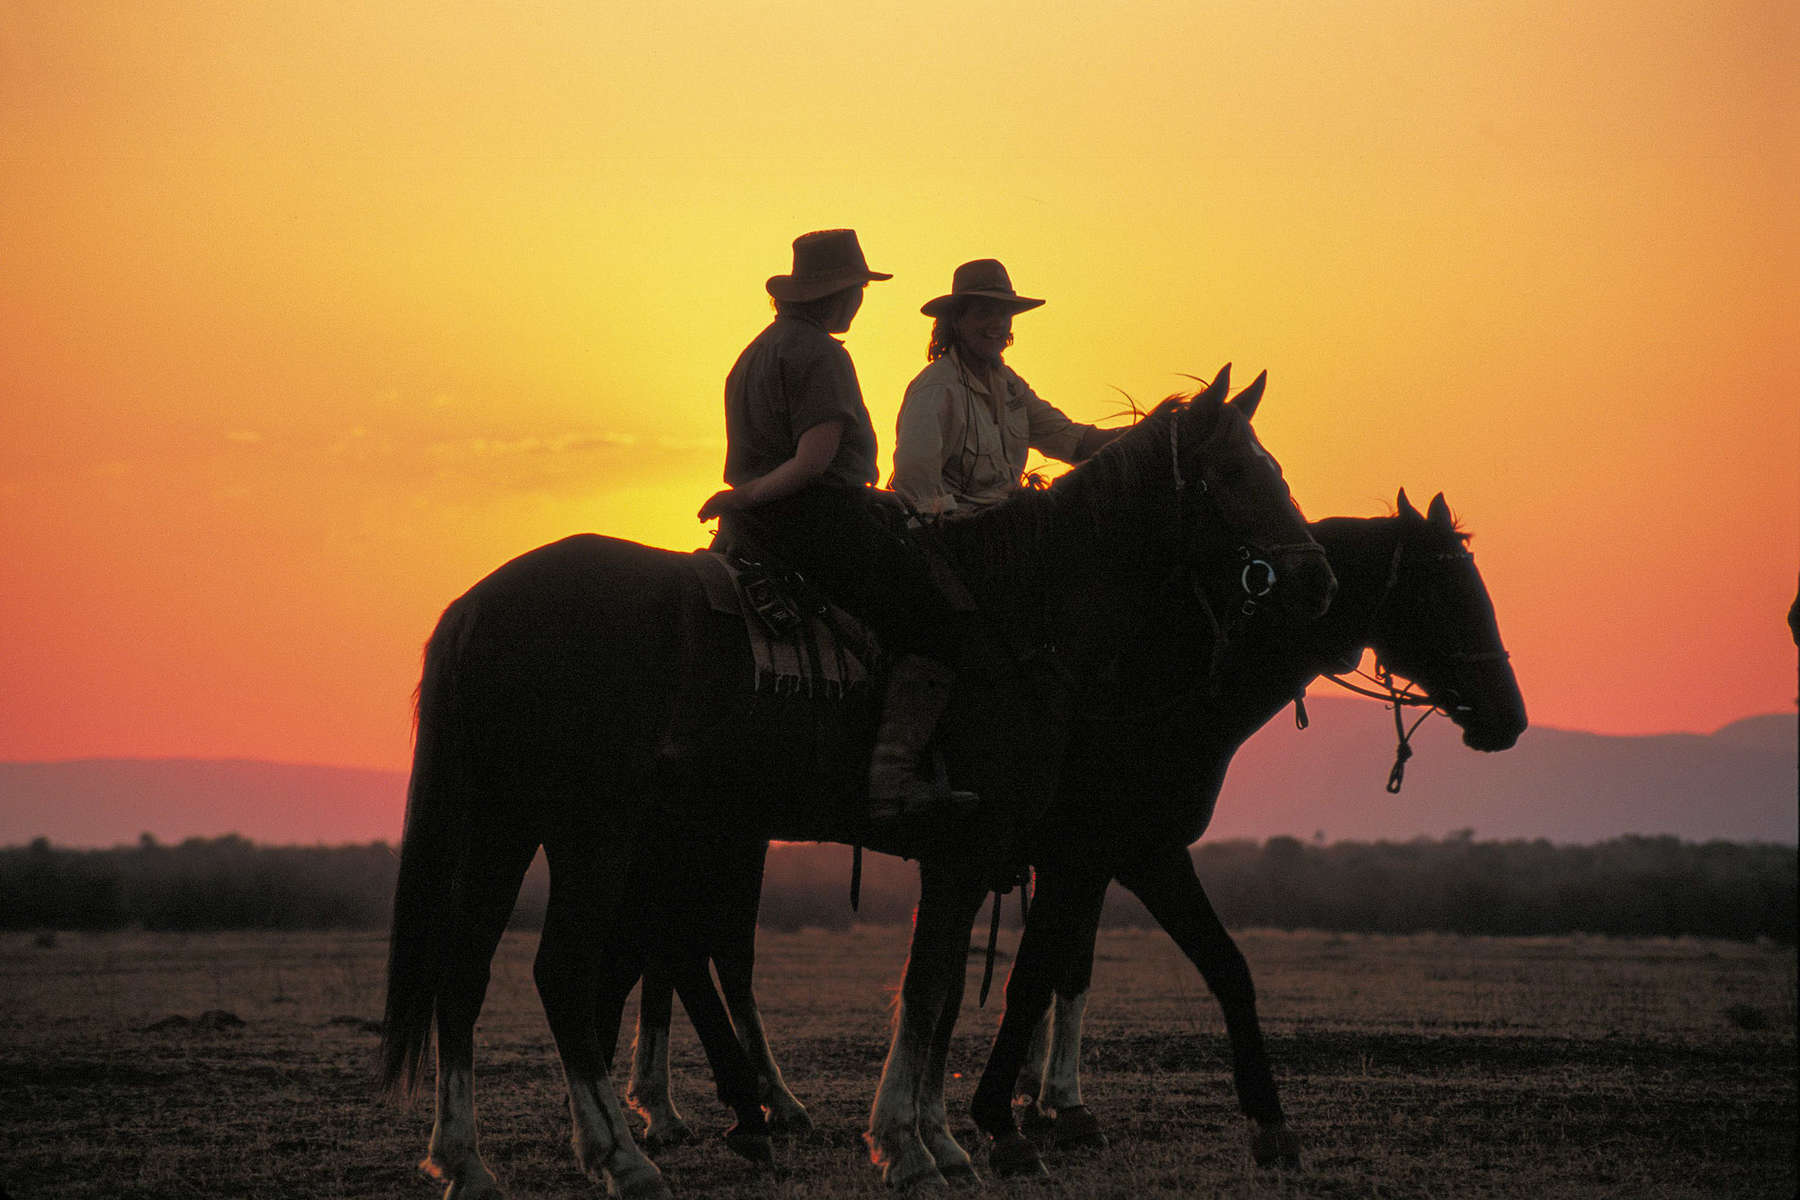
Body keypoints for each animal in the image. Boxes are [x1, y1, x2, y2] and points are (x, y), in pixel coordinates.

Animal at [379, 368, 1339, 1200]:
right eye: (1231, 471)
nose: (1317, 577)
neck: (1021, 609)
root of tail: (479, 606)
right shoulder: (984, 847)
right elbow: (931, 988)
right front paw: (912, 1146)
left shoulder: (997, 856)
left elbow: (948, 988)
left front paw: (946, 1140)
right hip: (594, 833)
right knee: (565, 972)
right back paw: (625, 1155)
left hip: (508, 828)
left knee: (465, 971)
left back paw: (466, 1160)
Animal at [626, 489, 1526, 1180]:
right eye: (1447, 591)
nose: (1511, 718)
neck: (1155, 678)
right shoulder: (1097, 854)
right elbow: (1035, 978)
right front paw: (1006, 1117)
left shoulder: (1126, 854)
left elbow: (1188, 968)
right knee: (702, 955)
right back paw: (737, 1109)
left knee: (679, 954)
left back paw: (707, 1108)